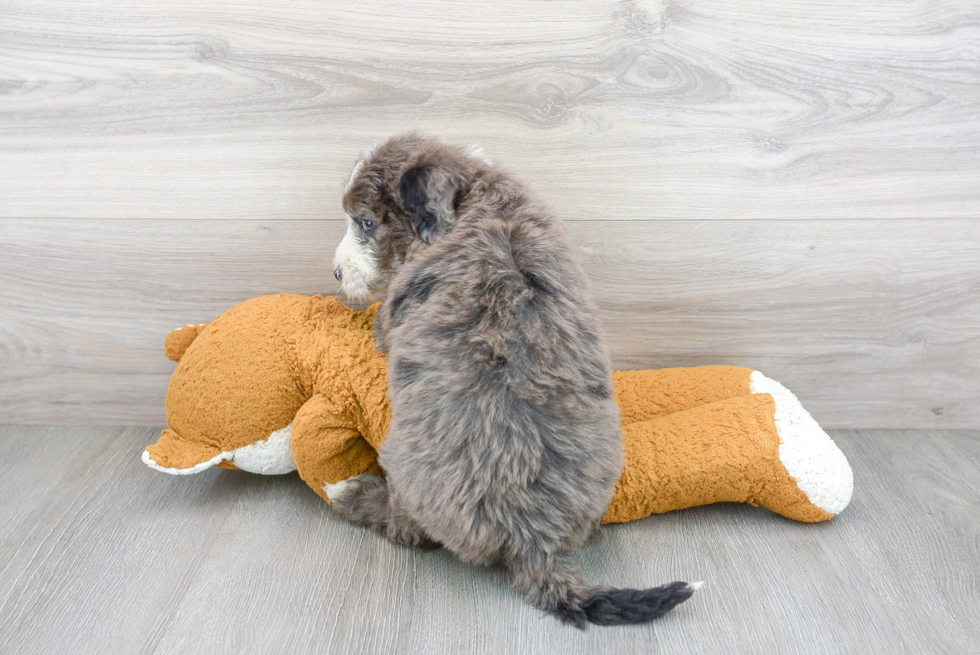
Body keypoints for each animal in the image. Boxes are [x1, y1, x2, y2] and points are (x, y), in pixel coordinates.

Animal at [330, 131, 696, 628]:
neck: (478, 199)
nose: (335, 273)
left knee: (408, 530)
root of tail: (535, 542)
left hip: (406, 470)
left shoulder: (394, 314)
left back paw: (354, 493)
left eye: (366, 222)